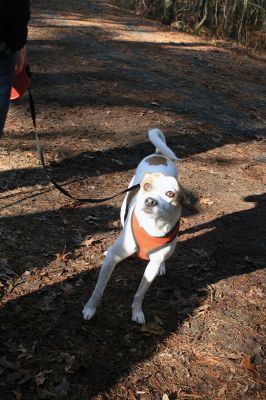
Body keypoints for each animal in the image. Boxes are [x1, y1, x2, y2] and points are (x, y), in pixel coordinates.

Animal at [82, 129, 185, 324]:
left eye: (170, 194)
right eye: (147, 187)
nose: (150, 201)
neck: (152, 226)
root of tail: (159, 155)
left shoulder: (151, 268)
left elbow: (140, 293)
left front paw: (137, 312)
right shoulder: (112, 261)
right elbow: (98, 290)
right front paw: (90, 309)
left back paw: (163, 266)